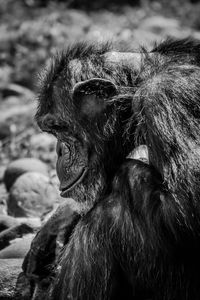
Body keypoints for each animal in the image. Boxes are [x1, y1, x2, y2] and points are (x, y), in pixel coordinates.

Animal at [22, 38, 200, 300]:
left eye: (58, 126)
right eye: (51, 130)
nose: (59, 150)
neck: (136, 86)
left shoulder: (166, 97)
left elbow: (186, 210)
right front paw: (56, 223)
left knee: (111, 211)